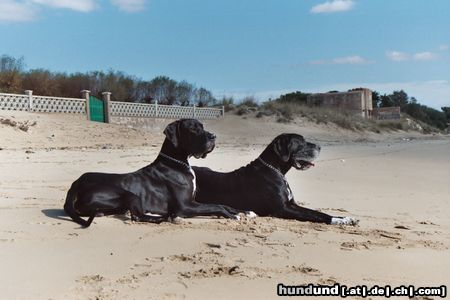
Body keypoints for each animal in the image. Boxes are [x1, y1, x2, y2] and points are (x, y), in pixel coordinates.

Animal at [193, 134, 358, 225]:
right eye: (301, 142)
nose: (319, 147)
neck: (276, 170)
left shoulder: (292, 204)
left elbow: (315, 212)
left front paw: (344, 218)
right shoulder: (282, 209)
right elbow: (317, 215)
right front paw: (338, 221)